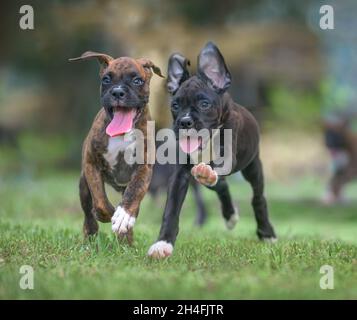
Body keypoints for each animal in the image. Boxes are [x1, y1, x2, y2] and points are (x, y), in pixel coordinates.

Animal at [69, 51, 163, 242]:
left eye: (137, 80)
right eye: (106, 79)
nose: (118, 92)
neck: (122, 134)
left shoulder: (144, 169)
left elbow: (134, 193)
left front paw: (123, 217)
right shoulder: (91, 165)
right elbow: (100, 202)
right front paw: (110, 214)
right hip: (83, 184)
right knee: (88, 212)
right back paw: (91, 235)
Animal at [147, 42, 276, 258]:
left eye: (204, 104)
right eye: (175, 105)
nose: (185, 122)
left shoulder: (228, 157)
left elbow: (217, 165)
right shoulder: (180, 175)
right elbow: (171, 211)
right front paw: (162, 243)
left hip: (253, 167)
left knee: (258, 197)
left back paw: (266, 232)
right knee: (221, 186)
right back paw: (229, 214)